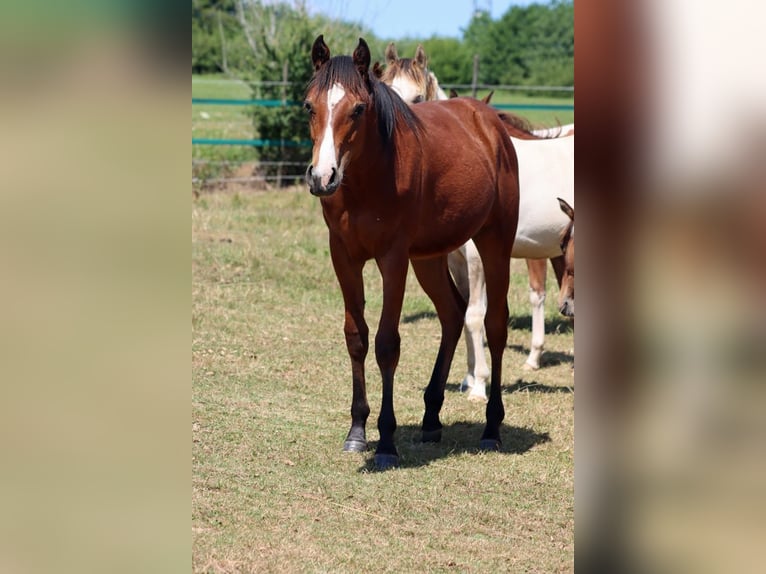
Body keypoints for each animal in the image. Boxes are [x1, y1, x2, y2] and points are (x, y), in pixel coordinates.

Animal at [304, 36, 520, 469]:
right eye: (308, 106)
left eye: (358, 108)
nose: (322, 177)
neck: (367, 180)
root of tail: (489, 122)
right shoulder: (344, 256)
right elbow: (356, 337)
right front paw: (357, 431)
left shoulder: (393, 259)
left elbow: (387, 343)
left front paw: (386, 442)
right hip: (430, 259)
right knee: (452, 314)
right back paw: (431, 418)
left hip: (494, 244)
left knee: (494, 325)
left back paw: (492, 427)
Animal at [380, 43, 574, 401]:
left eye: (417, 98)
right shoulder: (457, 260)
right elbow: (465, 313)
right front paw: (469, 377)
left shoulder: (477, 258)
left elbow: (475, 315)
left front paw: (480, 385)